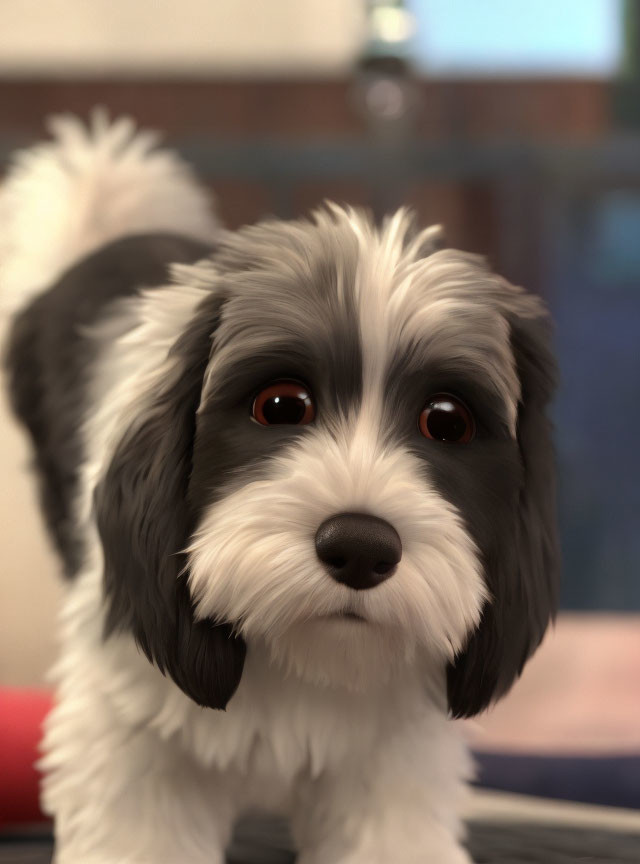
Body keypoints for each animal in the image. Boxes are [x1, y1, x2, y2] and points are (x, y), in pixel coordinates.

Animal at [1, 116, 556, 864]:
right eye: (280, 405)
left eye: (446, 420)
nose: (360, 547)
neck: (298, 648)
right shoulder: (132, 748)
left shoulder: (391, 768)